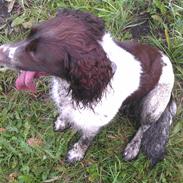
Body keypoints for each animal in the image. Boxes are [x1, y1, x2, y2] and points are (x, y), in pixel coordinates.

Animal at [0, 9, 177, 165]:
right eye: (29, 34)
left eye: (35, 54)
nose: (0, 51)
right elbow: (65, 112)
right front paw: (62, 121)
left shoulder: (94, 122)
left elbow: (86, 139)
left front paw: (77, 153)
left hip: (154, 105)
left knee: (144, 127)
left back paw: (133, 147)